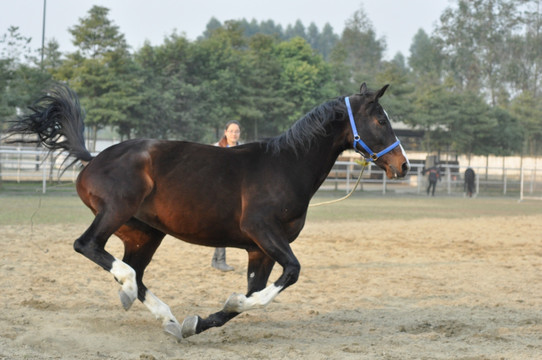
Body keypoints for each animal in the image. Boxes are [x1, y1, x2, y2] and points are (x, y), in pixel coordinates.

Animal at [7, 82, 408, 340]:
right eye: (381, 120)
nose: (402, 166)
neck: (286, 166)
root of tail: (93, 158)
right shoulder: (263, 231)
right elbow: (291, 273)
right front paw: (218, 307)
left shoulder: (259, 250)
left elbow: (250, 296)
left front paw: (195, 323)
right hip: (117, 210)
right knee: (89, 246)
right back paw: (130, 290)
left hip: (144, 233)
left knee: (134, 271)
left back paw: (164, 315)